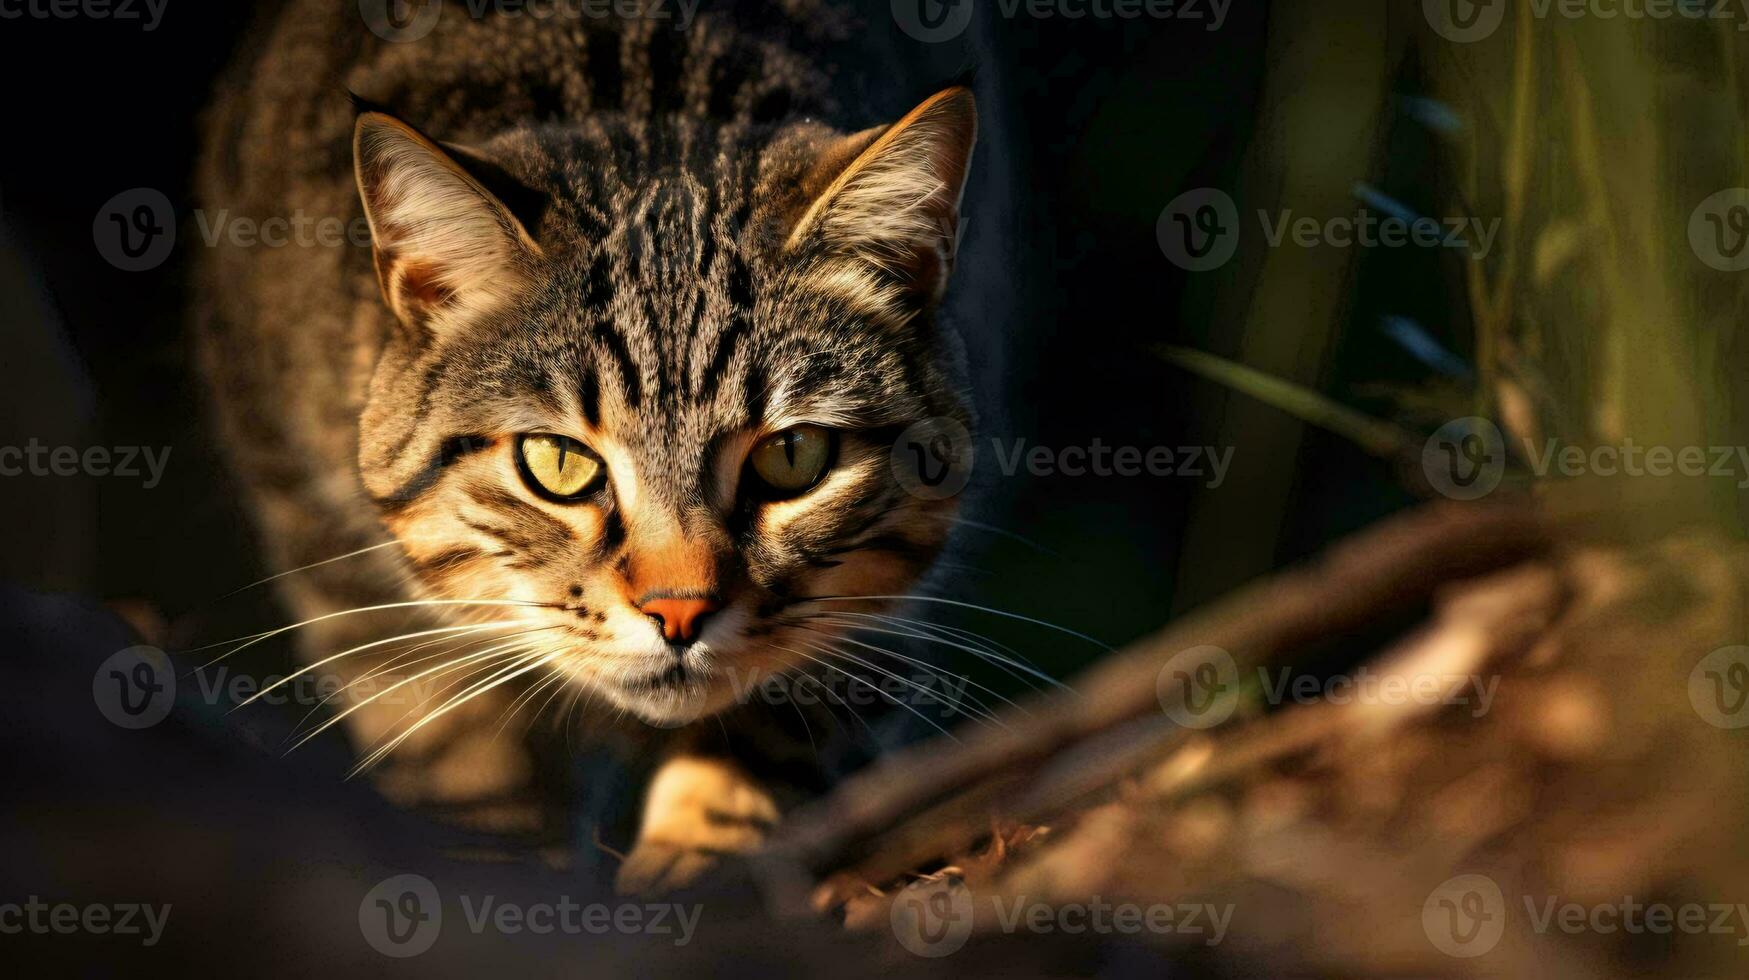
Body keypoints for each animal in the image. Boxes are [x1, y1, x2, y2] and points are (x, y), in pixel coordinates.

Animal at [200, 0, 986, 896]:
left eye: (792, 458)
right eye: (558, 464)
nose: (679, 613)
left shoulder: (882, 622)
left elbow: (774, 737)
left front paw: (698, 861)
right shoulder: (341, 570)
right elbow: (459, 761)